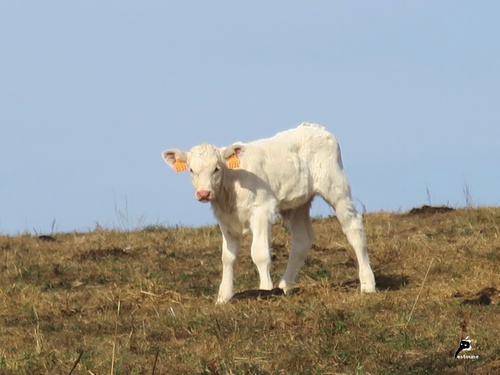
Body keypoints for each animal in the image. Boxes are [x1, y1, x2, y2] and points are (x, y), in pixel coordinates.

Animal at [162, 123, 376, 306]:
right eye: (191, 170)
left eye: (216, 168)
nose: (203, 193)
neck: (232, 183)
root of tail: (315, 127)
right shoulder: (225, 219)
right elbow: (227, 257)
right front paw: (223, 297)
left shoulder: (261, 210)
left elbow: (260, 253)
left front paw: (264, 290)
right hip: (298, 204)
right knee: (302, 239)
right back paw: (284, 286)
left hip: (336, 188)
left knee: (354, 228)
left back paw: (367, 284)